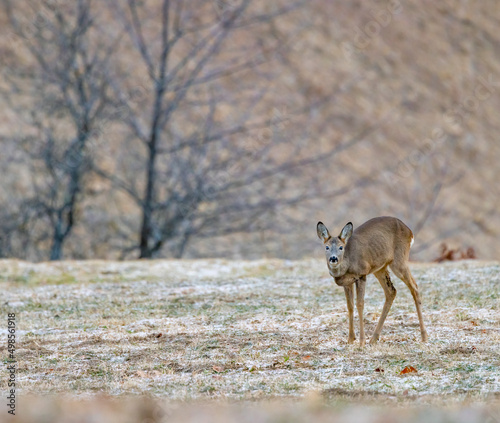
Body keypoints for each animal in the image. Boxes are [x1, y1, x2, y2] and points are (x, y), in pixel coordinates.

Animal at [316, 217, 430, 346]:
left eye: (341, 247)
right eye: (327, 247)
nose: (333, 258)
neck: (347, 262)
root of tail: (409, 231)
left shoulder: (362, 274)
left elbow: (360, 304)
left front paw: (361, 342)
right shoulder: (347, 282)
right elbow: (350, 306)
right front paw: (350, 339)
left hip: (399, 260)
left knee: (414, 287)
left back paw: (424, 336)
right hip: (380, 268)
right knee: (391, 291)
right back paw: (374, 338)